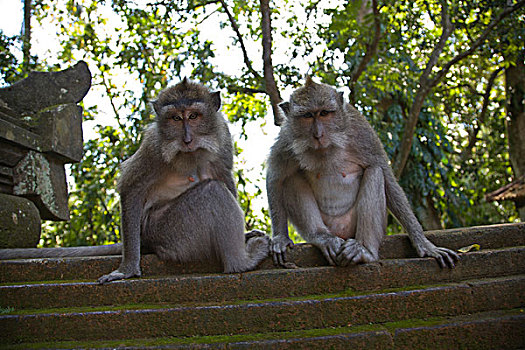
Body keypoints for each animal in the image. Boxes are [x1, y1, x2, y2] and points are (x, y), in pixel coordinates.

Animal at [0, 79, 270, 282]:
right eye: (175, 118)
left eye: (194, 116)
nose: (187, 138)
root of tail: (146, 240)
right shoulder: (154, 147)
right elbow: (131, 188)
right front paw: (127, 269)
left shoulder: (223, 136)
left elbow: (223, 174)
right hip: (169, 232)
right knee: (212, 192)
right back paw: (241, 262)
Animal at [266, 76, 458, 268]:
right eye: (307, 116)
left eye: (324, 113)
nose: (318, 134)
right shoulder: (286, 139)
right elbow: (276, 178)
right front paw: (280, 237)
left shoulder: (362, 133)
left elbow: (387, 177)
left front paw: (424, 244)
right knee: (291, 179)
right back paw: (322, 237)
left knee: (375, 173)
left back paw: (364, 251)